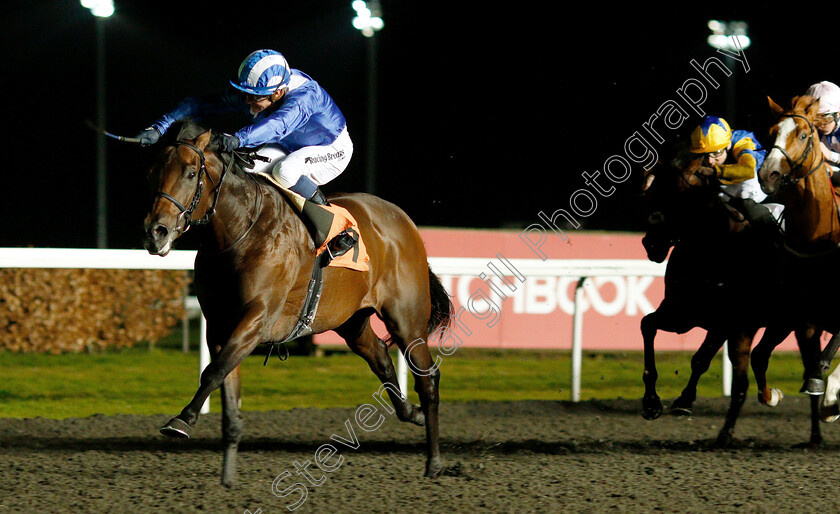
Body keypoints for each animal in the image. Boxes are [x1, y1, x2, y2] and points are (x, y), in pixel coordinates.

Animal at [143, 120, 452, 484]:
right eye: (153, 172)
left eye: (191, 173)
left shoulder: (257, 318)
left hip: (406, 318)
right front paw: (228, 476)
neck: (241, 231)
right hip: (351, 321)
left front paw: (183, 419)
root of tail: (403, 221)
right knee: (382, 360)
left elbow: (212, 371)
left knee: (427, 378)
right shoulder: (219, 325)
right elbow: (225, 387)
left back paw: (434, 461)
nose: (156, 232)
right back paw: (412, 414)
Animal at [640, 142, 824, 446]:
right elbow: (648, 326)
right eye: (650, 196)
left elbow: (701, 359)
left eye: (676, 200)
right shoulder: (681, 313)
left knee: (809, 371)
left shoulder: (724, 323)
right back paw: (771, 397)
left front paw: (682, 401)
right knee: (761, 356)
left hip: (798, 325)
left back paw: (815, 434)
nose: (650, 244)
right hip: (778, 324)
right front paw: (652, 403)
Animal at [756, 95, 840, 420]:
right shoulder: (790, 314)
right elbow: (758, 356)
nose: (767, 175)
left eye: (803, 135)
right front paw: (774, 395)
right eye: (770, 133)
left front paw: (827, 395)